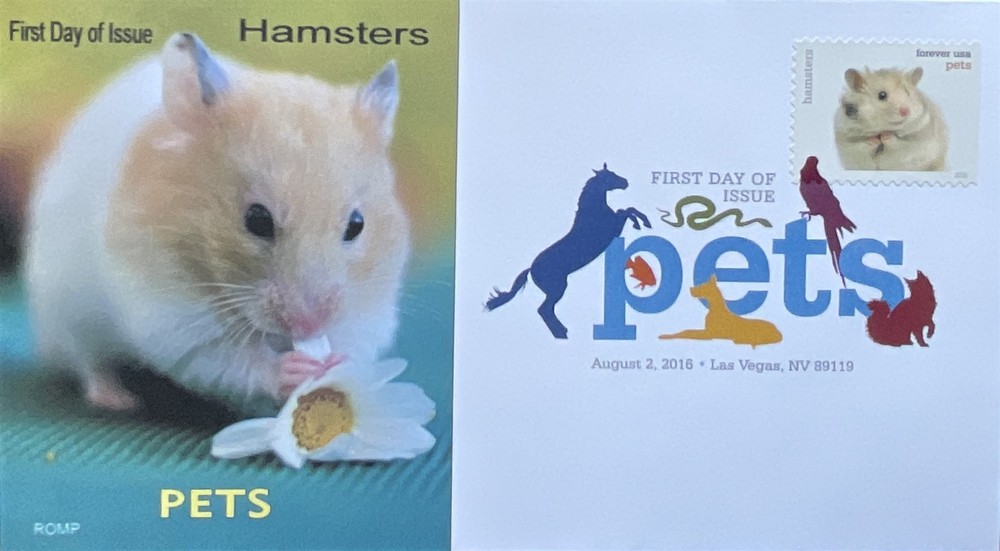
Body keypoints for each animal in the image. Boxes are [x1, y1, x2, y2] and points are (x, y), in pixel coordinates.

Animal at [23, 33, 409, 415]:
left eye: (357, 224)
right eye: (257, 220)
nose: (309, 324)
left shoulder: (368, 312)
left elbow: (350, 344)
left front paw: (335, 365)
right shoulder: (173, 319)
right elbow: (233, 361)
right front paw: (294, 370)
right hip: (64, 311)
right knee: (87, 363)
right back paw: (118, 400)